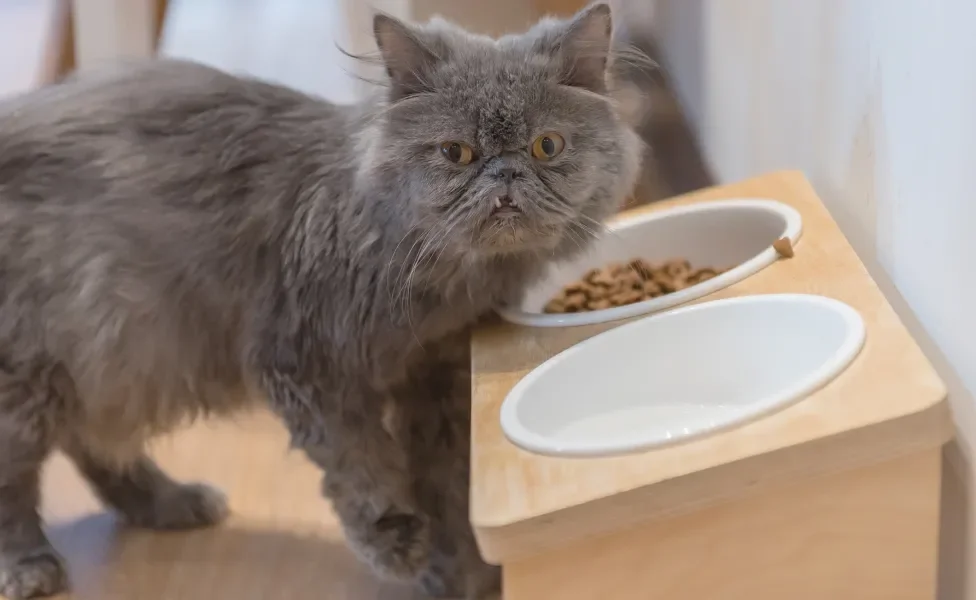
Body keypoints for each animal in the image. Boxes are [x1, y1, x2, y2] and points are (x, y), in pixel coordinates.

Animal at [0, 2, 640, 596]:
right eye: (456, 153)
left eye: (546, 146)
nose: (505, 175)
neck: (442, 291)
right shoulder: (305, 362)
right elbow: (361, 465)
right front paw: (401, 545)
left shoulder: (436, 376)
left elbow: (445, 484)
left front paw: (462, 572)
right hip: (42, 375)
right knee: (20, 477)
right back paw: (32, 567)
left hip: (113, 366)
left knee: (93, 446)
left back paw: (172, 503)